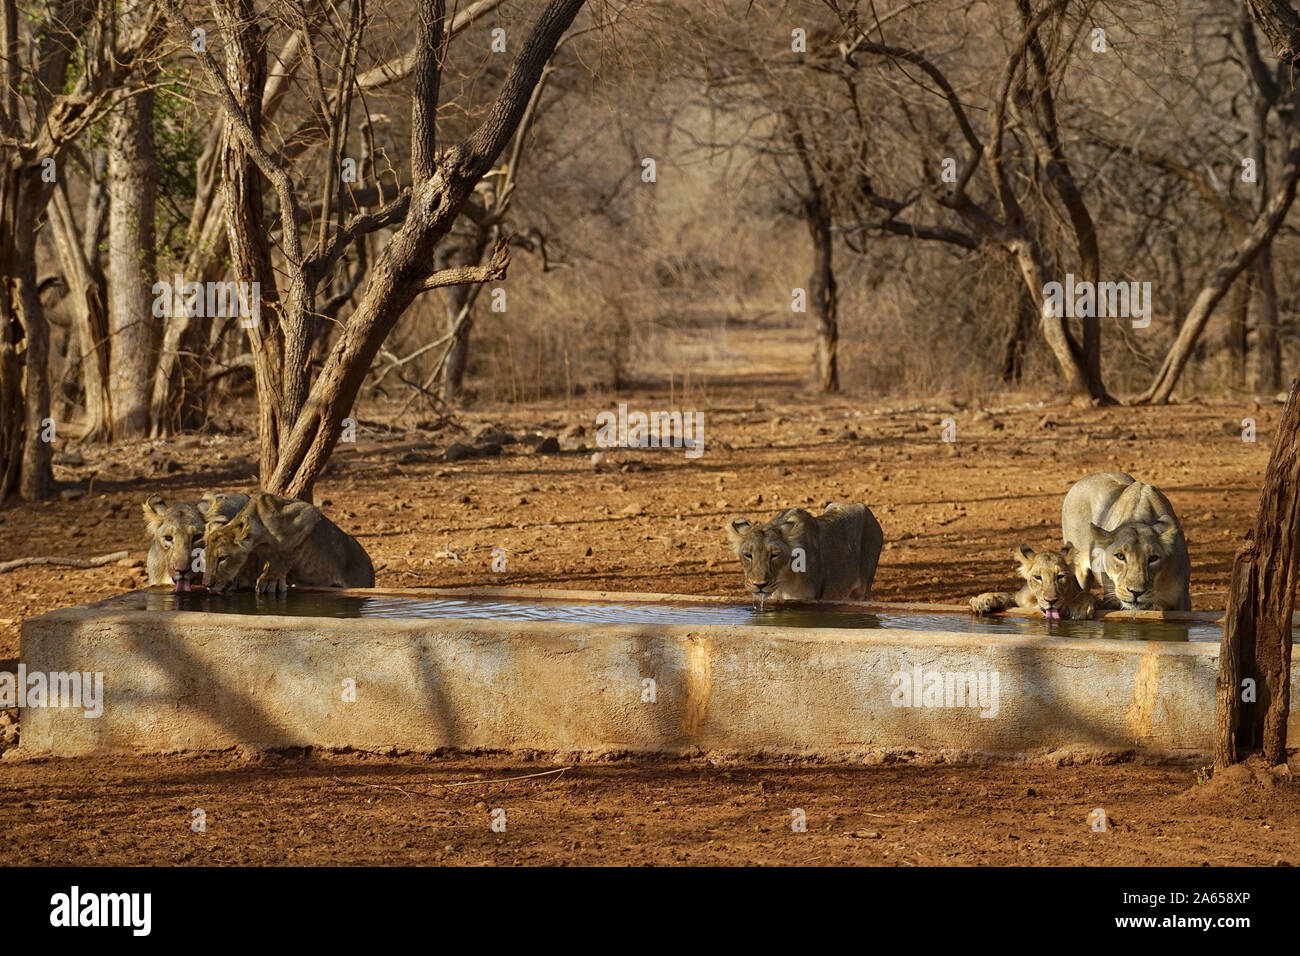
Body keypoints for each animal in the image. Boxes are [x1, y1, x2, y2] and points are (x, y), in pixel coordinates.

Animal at [1061, 472, 1191, 612]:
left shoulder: (1181, 600)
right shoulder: (1111, 599)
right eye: (1120, 556)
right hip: (1080, 571)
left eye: (1153, 558)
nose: (1136, 592)